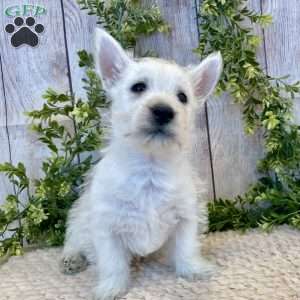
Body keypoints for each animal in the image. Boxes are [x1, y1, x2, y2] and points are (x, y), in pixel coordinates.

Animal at [60, 28, 223, 300]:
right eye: (138, 87)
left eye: (182, 97)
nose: (163, 111)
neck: (149, 166)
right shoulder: (107, 226)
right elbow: (113, 262)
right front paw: (111, 288)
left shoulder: (186, 217)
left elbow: (187, 248)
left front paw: (193, 270)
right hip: (80, 217)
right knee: (74, 239)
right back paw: (71, 259)